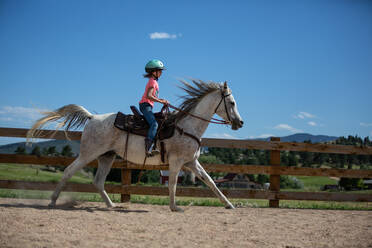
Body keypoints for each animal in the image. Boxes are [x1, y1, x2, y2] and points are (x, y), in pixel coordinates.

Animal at [28, 80, 244, 211]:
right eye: (232, 103)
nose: (240, 123)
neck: (187, 126)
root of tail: (92, 117)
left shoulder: (191, 162)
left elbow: (211, 182)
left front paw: (229, 204)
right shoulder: (177, 162)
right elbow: (173, 183)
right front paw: (174, 207)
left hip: (107, 156)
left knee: (98, 181)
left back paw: (111, 205)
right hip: (88, 154)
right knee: (68, 171)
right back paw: (52, 201)